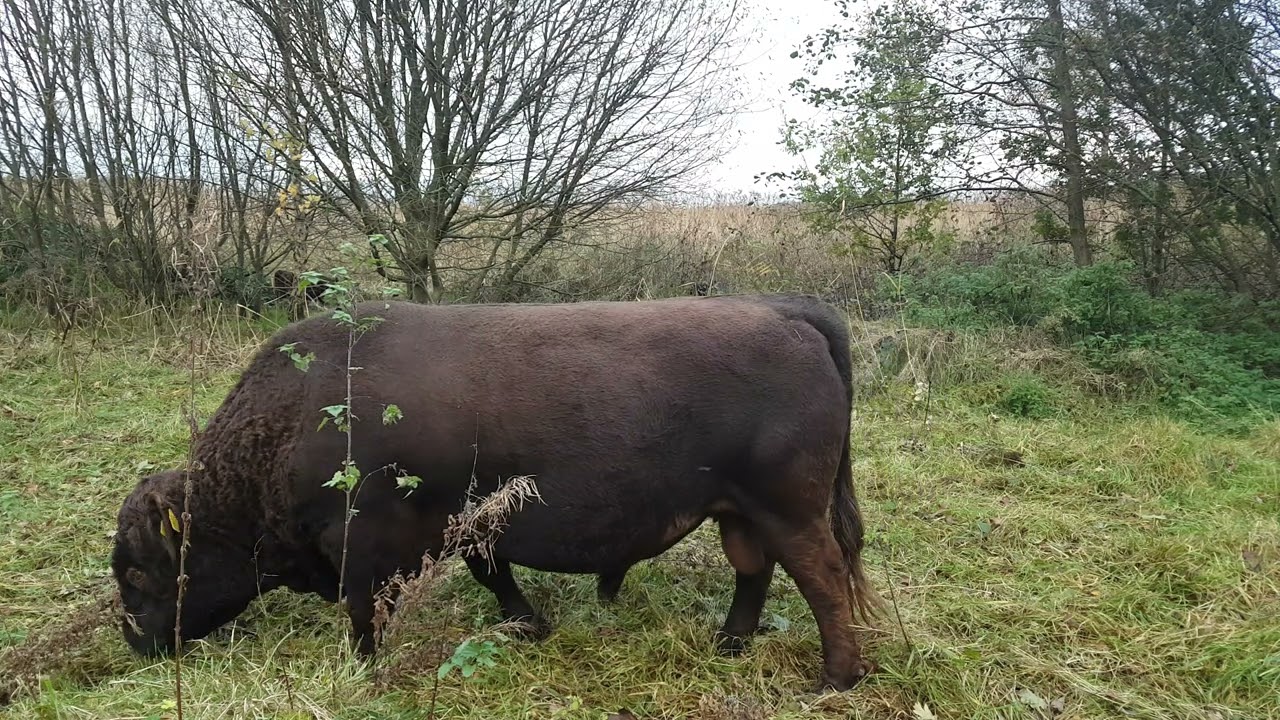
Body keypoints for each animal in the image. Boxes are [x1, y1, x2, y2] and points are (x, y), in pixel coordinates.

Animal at [110, 294, 880, 691]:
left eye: (138, 572)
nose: (137, 642)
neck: (298, 412)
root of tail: (787, 312)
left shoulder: (365, 540)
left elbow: (366, 609)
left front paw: (365, 669)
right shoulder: (473, 521)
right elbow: (493, 572)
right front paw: (527, 623)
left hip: (790, 510)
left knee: (823, 579)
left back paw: (835, 679)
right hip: (739, 513)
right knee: (754, 571)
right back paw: (729, 644)